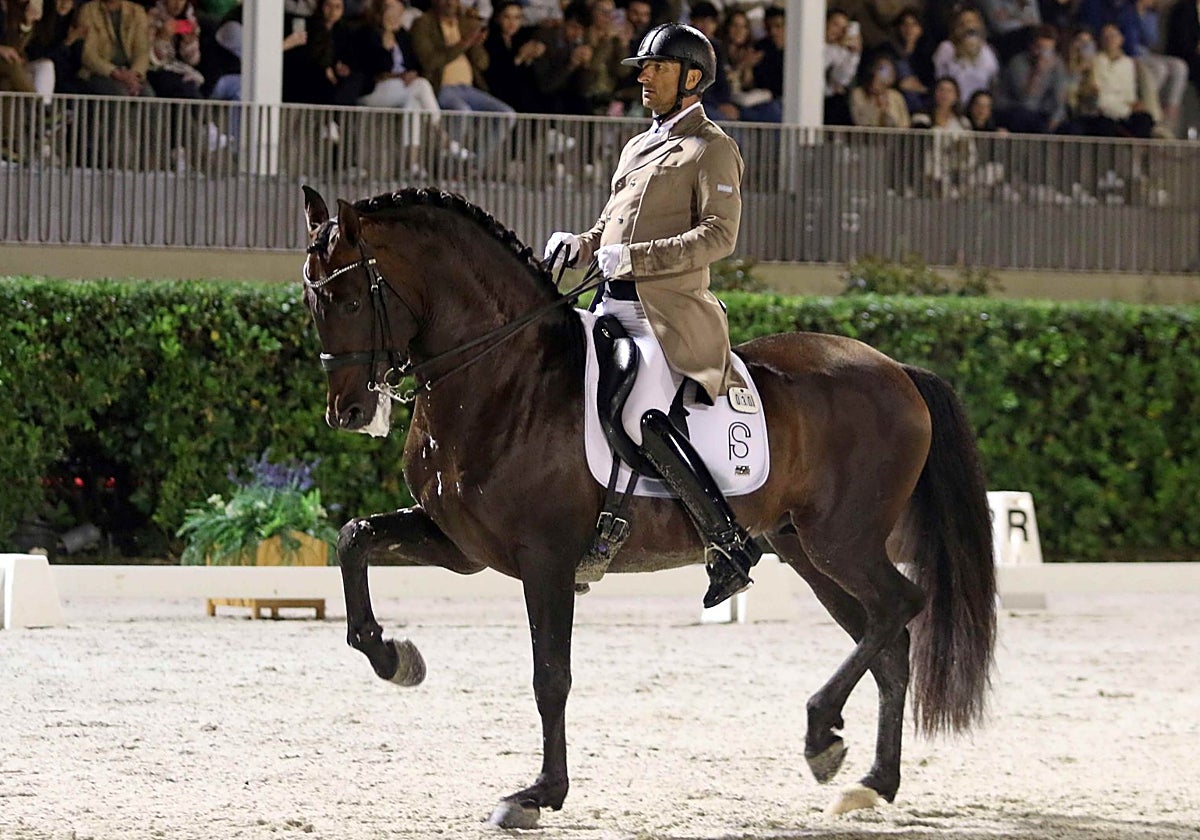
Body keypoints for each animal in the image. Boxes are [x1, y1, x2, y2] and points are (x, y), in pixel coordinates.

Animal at [299, 185, 997, 829]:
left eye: (352, 299)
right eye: (312, 301)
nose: (348, 412)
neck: (505, 376)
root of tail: (898, 370)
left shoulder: (546, 559)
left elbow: (550, 676)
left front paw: (538, 794)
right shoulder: (460, 546)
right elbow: (355, 537)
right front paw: (394, 659)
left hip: (841, 541)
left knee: (900, 607)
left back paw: (821, 732)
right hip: (805, 549)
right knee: (889, 640)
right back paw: (870, 781)